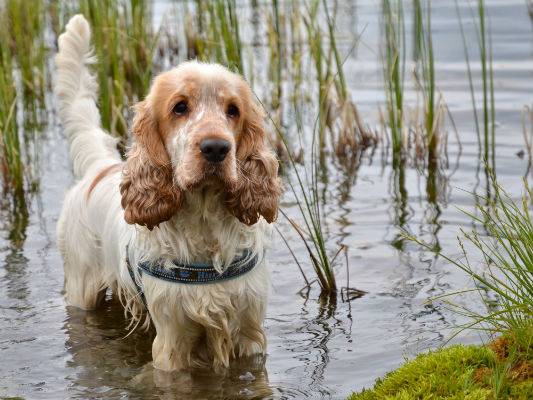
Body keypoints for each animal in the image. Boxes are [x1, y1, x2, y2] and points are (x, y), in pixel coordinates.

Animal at [55, 15, 282, 372]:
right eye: (180, 107)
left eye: (233, 110)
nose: (216, 148)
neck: (205, 227)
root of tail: (98, 167)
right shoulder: (174, 339)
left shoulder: (248, 330)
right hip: (81, 288)